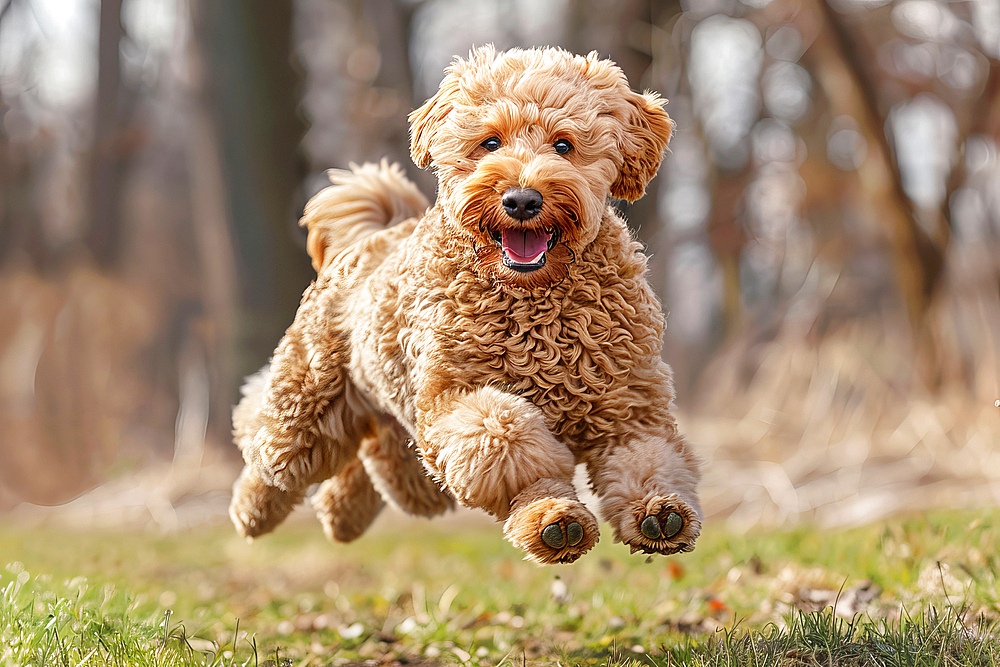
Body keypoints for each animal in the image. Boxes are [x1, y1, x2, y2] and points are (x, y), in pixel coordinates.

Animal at [233, 45, 704, 564]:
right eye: (490, 142)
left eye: (563, 145)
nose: (521, 200)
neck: (534, 298)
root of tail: (374, 236)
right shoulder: (452, 401)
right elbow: (508, 439)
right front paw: (551, 517)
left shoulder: (627, 406)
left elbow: (646, 457)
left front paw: (658, 511)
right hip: (308, 403)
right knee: (270, 450)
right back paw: (251, 512)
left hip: (403, 439)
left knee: (377, 461)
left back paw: (342, 515)